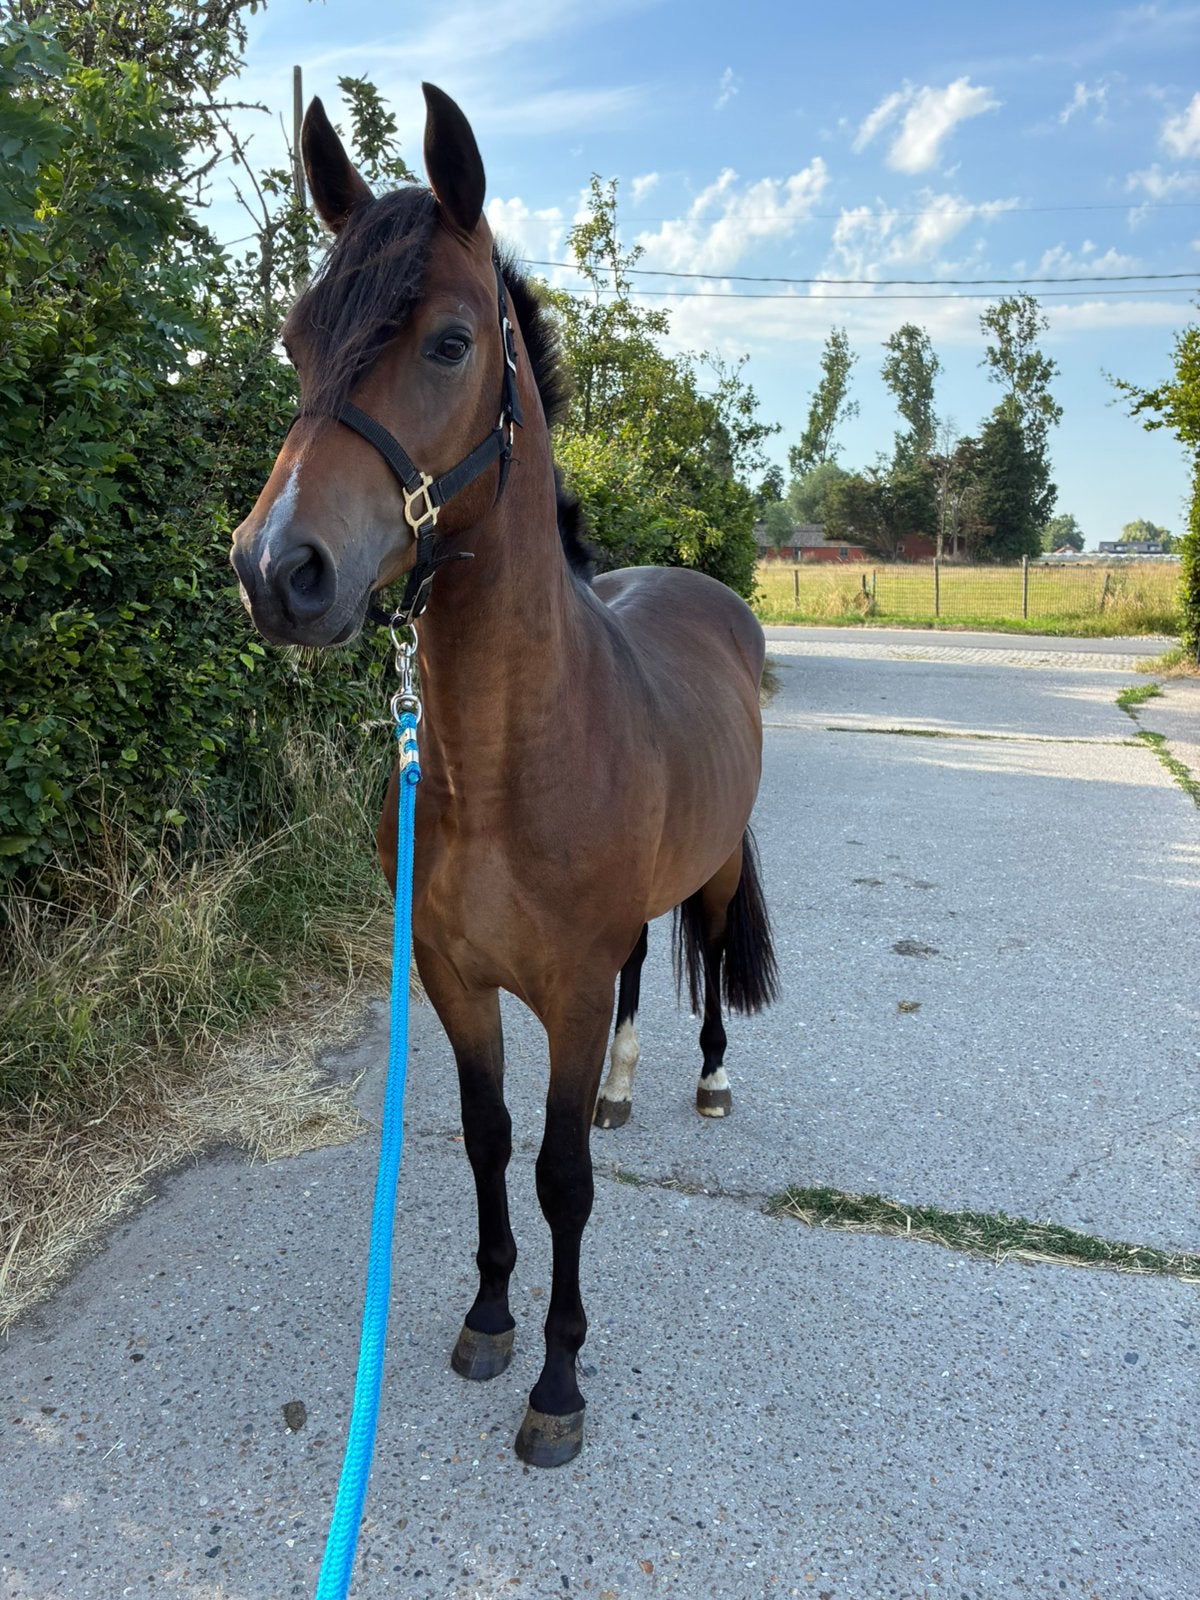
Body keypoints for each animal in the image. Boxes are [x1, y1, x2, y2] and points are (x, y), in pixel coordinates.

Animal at [229, 83, 779, 1468]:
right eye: (295, 339)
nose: (277, 570)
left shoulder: (566, 995)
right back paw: (636, 1089)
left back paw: (704, 1081)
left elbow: (559, 1174)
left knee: (699, 962)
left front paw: (559, 1383)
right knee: (644, 974)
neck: (499, 764)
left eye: (449, 342)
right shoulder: (453, 979)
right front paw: (488, 1317)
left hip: (711, 870)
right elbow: (486, 1145)